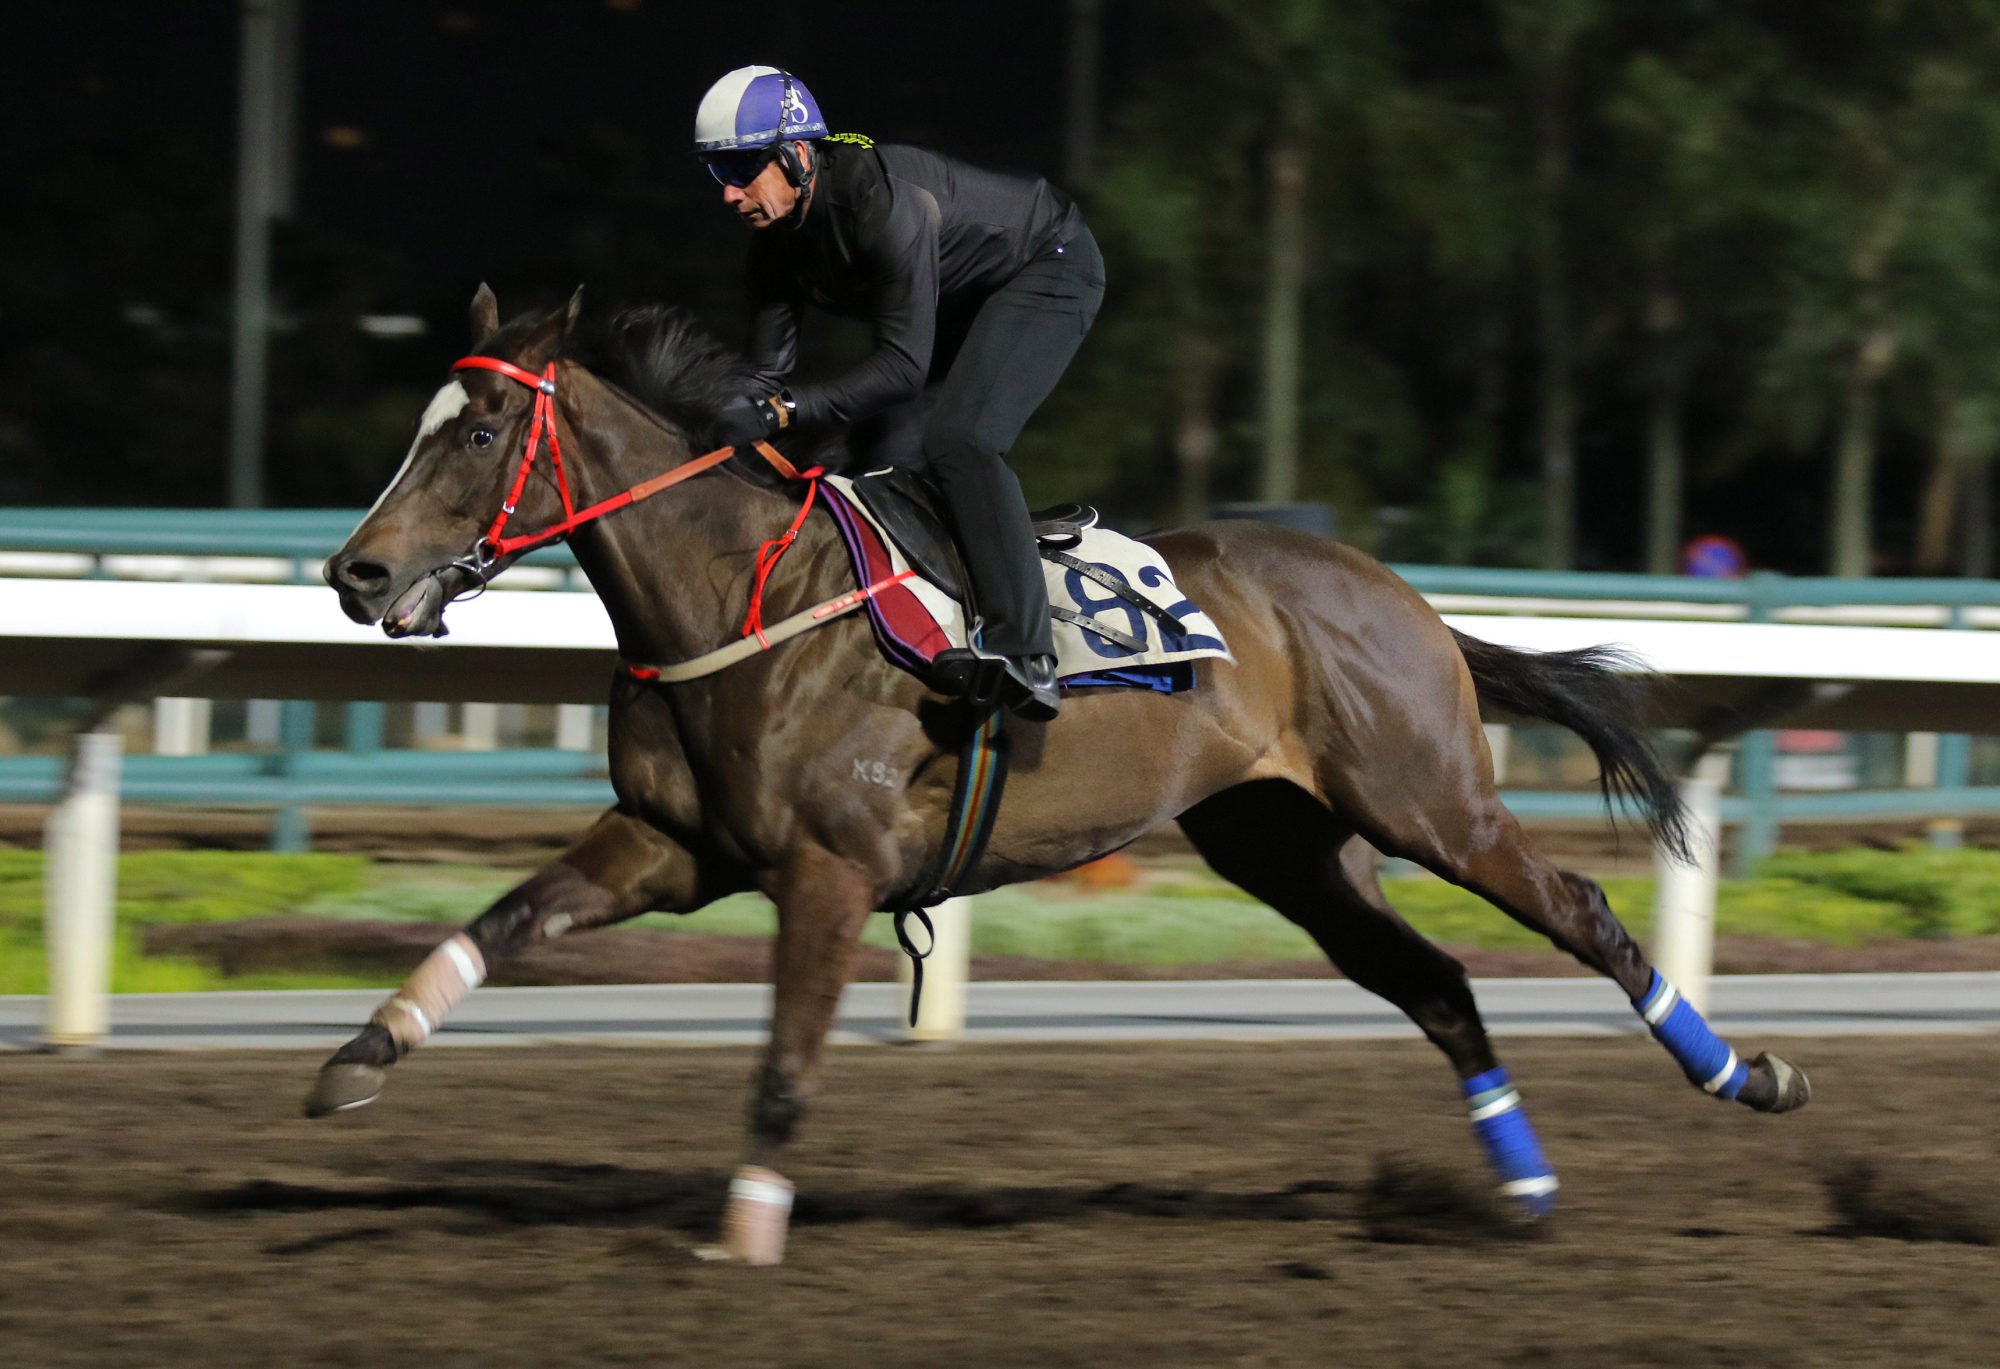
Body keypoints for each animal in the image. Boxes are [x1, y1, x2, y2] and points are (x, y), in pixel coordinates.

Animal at [308, 284, 1816, 1264]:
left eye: (478, 433)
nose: (356, 574)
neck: (744, 597)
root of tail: (1406, 598)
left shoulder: (827, 869)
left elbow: (786, 1065)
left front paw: (743, 1236)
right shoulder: (673, 847)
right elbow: (503, 920)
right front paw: (356, 1057)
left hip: (1428, 799)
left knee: (1583, 913)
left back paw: (1744, 1076)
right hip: (1283, 843)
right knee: (1437, 983)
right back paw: (1526, 1190)